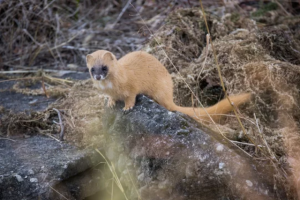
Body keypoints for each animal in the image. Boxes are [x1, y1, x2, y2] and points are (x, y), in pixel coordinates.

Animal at [86, 50, 251, 122]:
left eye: (104, 67)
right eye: (92, 69)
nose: (98, 76)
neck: (111, 87)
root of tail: (170, 94)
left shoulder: (132, 86)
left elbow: (131, 97)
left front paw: (127, 107)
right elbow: (111, 98)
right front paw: (111, 102)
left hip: (160, 89)